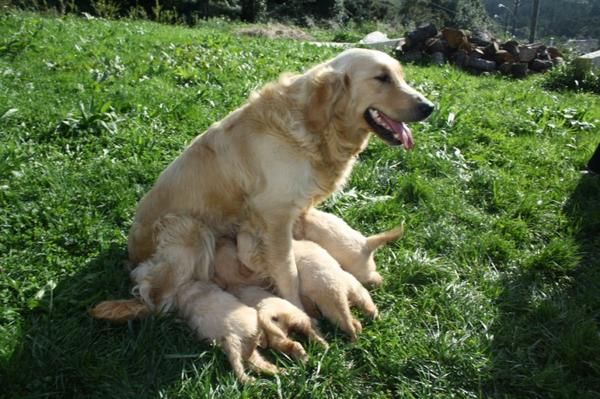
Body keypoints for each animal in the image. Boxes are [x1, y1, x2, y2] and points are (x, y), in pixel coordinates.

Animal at [127, 47, 432, 310]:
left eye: (401, 76)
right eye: (382, 78)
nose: (429, 107)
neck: (316, 127)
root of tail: (133, 251)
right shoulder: (275, 216)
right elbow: (288, 270)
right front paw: (298, 308)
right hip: (190, 229)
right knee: (150, 290)